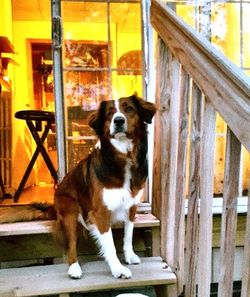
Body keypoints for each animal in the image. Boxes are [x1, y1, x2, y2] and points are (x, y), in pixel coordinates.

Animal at [0, 93, 156, 278]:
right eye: (110, 113)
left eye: (129, 109)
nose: (118, 121)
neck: (123, 157)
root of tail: (53, 206)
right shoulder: (101, 212)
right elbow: (110, 245)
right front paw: (118, 269)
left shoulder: (131, 206)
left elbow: (128, 234)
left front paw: (129, 256)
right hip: (71, 210)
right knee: (71, 247)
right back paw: (74, 268)